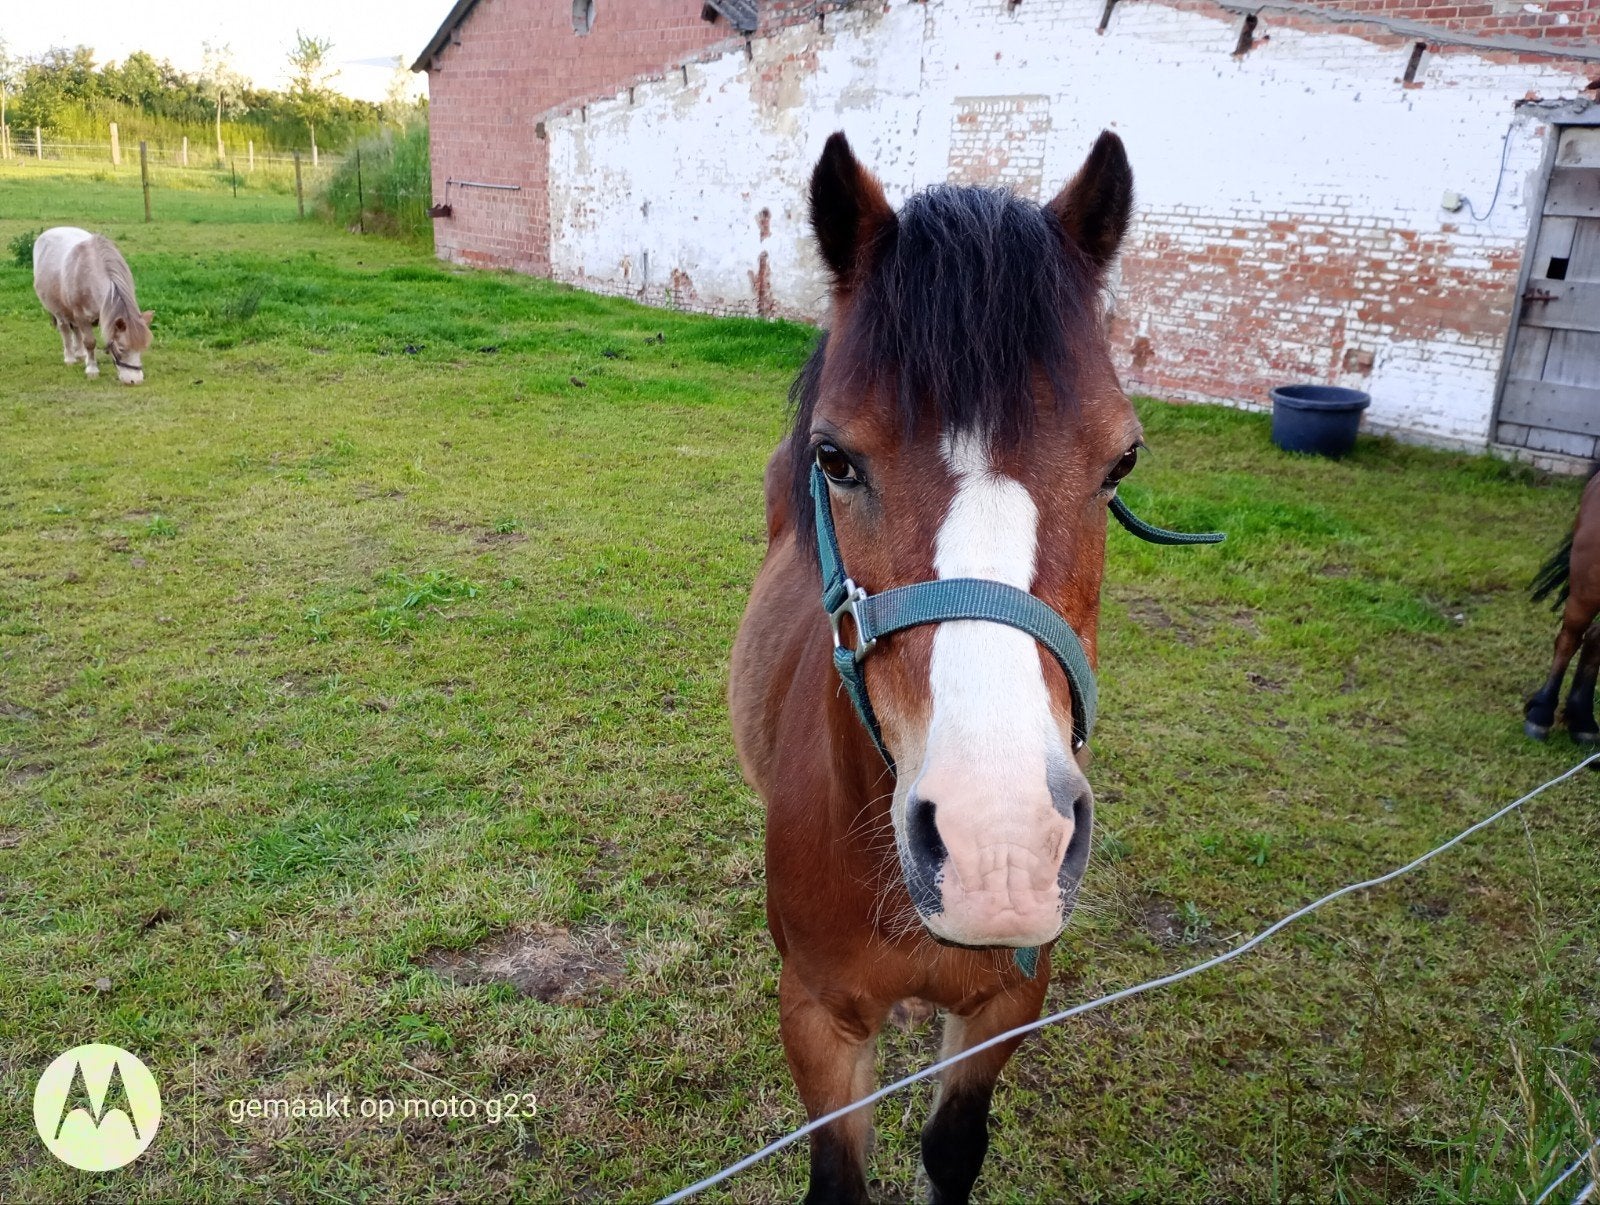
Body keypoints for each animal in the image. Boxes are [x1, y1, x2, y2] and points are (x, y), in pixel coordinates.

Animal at [32, 227, 154, 385]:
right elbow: (90, 342)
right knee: (65, 329)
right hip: (59, 310)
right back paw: (70, 357)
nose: (135, 380)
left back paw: (80, 353)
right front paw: (92, 369)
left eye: (142, 348)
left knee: (75, 329)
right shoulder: (82, 316)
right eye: (121, 349)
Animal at [729, 129, 1199, 1203]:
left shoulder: (1004, 1008)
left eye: (1122, 463)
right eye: (836, 459)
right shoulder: (817, 1019)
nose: (1000, 847)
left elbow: (952, 1148)